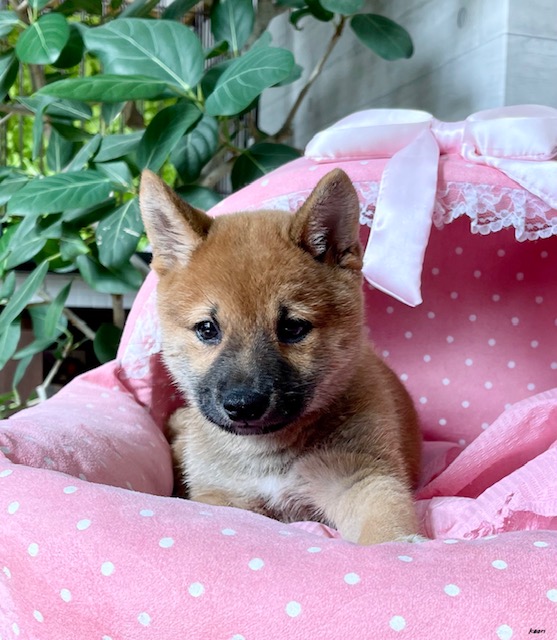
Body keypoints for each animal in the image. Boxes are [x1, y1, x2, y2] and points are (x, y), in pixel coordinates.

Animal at [139, 168, 422, 545]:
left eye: (292, 327)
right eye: (207, 329)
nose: (243, 405)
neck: (266, 455)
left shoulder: (361, 477)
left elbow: (386, 519)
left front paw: (398, 548)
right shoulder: (221, 496)